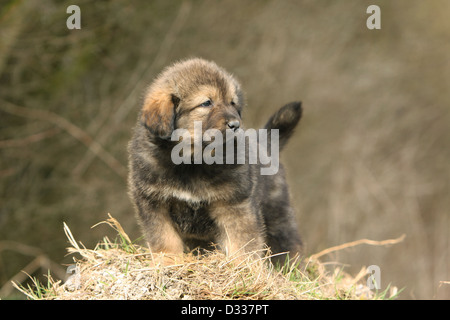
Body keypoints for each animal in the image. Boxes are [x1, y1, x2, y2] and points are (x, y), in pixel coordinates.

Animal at [126, 58, 302, 264]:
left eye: (232, 103)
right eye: (206, 103)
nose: (235, 125)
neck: (191, 161)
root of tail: (264, 141)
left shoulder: (235, 204)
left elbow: (242, 243)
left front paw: (243, 267)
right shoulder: (153, 203)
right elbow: (164, 238)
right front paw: (169, 261)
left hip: (277, 215)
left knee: (288, 244)